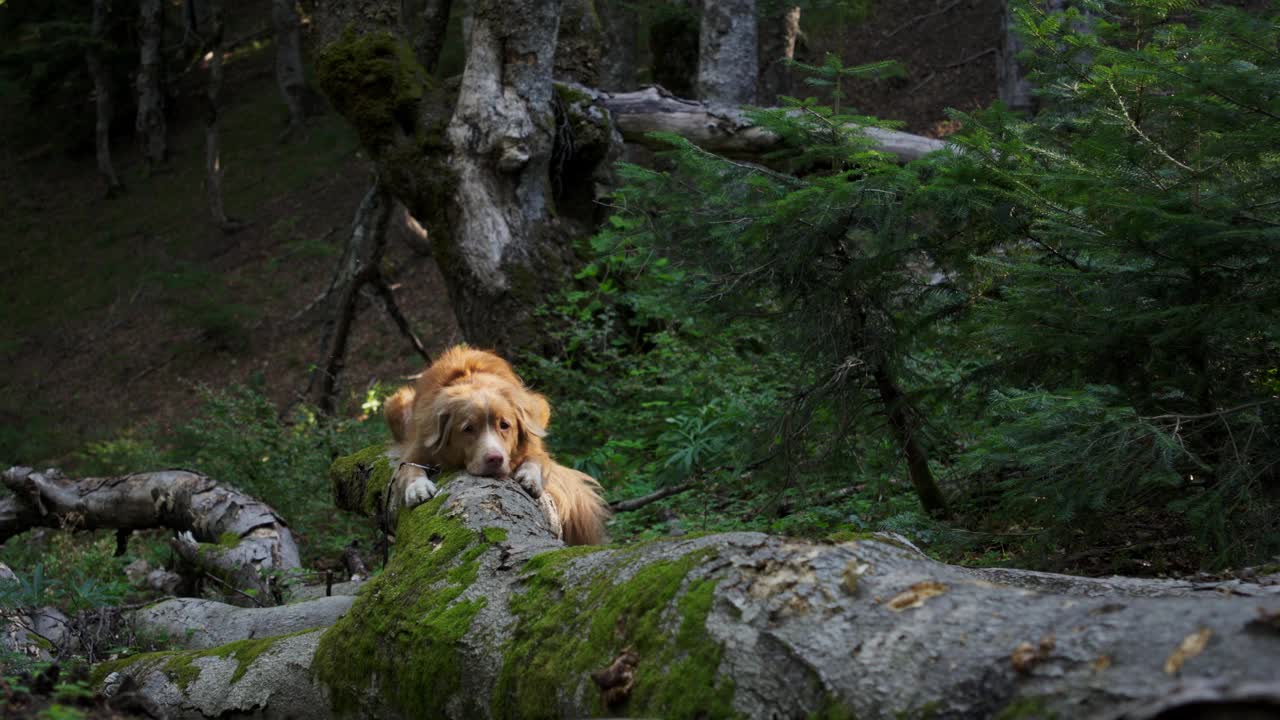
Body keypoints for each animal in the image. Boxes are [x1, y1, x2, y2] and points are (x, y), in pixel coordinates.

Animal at [384, 345, 609, 540]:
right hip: (395, 404)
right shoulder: (417, 448)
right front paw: (418, 488)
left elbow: (537, 459)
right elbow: (408, 468)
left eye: (504, 425)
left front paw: (530, 478)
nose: (495, 459)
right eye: (468, 429)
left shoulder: (535, 447)